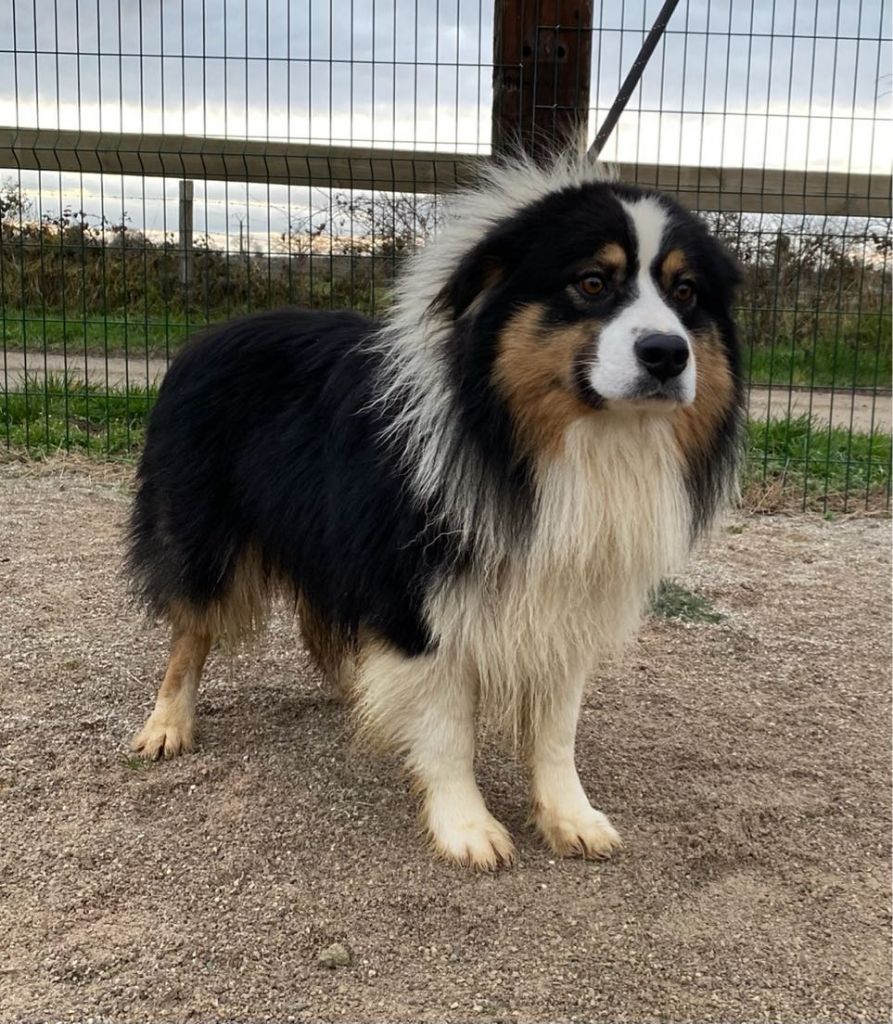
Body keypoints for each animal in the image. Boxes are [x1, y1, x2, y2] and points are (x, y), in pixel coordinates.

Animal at [125, 155, 741, 868]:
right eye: (592, 282)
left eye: (686, 293)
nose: (668, 354)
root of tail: (207, 337)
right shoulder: (418, 594)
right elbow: (448, 727)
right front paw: (466, 825)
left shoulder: (567, 595)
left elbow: (557, 727)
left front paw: (570, 815)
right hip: (205, 532)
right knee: (190, 629)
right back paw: (168, 723)